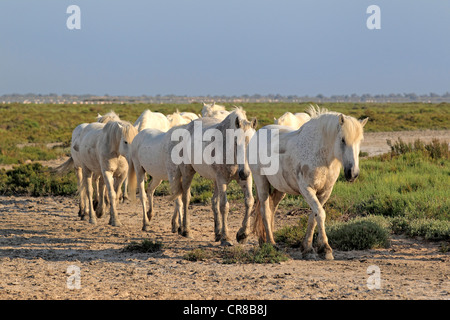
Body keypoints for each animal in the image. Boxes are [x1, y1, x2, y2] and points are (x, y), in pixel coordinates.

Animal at [165, 107, 256, 245]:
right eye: (236, 143)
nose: (243, 173)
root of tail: (186, 127)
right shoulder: (222, 179)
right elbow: (224, 206)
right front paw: (226, 237)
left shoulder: (246, 179)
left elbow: (249, 201)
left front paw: (242, 234)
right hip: (188, 172)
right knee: (186, 198)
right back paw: (186, 230)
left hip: (214, 180)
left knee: (213, 201)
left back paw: (217, 232)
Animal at [250, 105, 370, 260]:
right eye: (343, 140)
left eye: (360, 140)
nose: (352, 173)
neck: (321, 156)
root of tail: (258, 133)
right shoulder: (307, 189)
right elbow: (320, 213)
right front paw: (325, 248)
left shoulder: (325, 192)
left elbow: (314, 216)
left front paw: (307, 248)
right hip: (261, 182)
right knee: (265, 210)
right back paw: (271, 244)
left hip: (280, 189)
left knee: (271, 209)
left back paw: (265, 241)